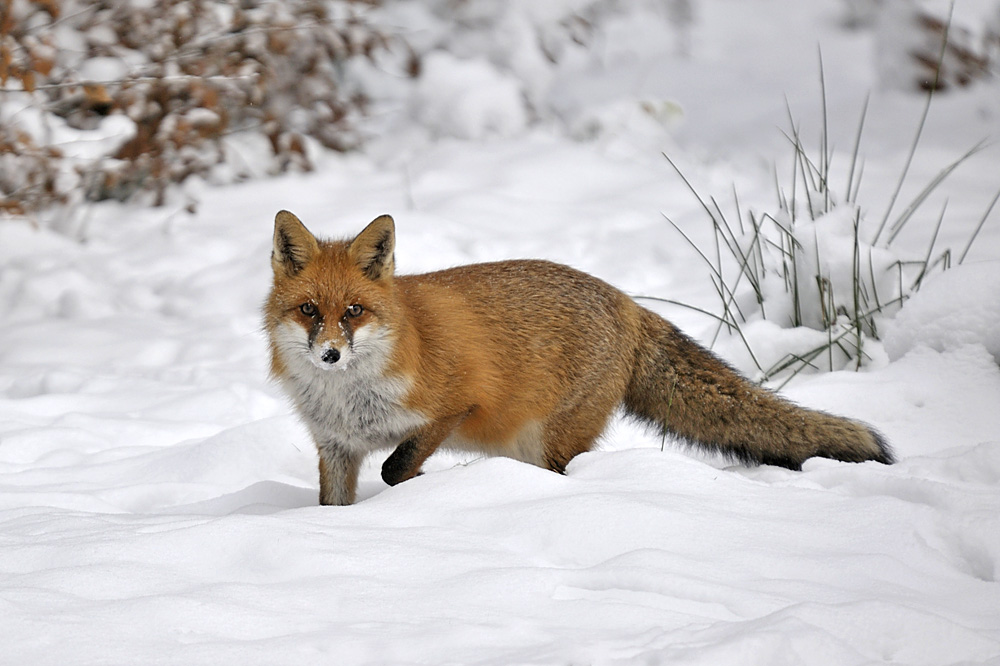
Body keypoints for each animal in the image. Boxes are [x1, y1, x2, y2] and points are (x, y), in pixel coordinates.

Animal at [264, 211, 892, 504]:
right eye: (309, 310)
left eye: (353, 311)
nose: (329, 354)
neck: (351, 398)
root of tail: (626, 301)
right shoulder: (337, 448)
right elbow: (334, 504)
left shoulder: (453, 406)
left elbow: (396, 469)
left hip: (547, 443)